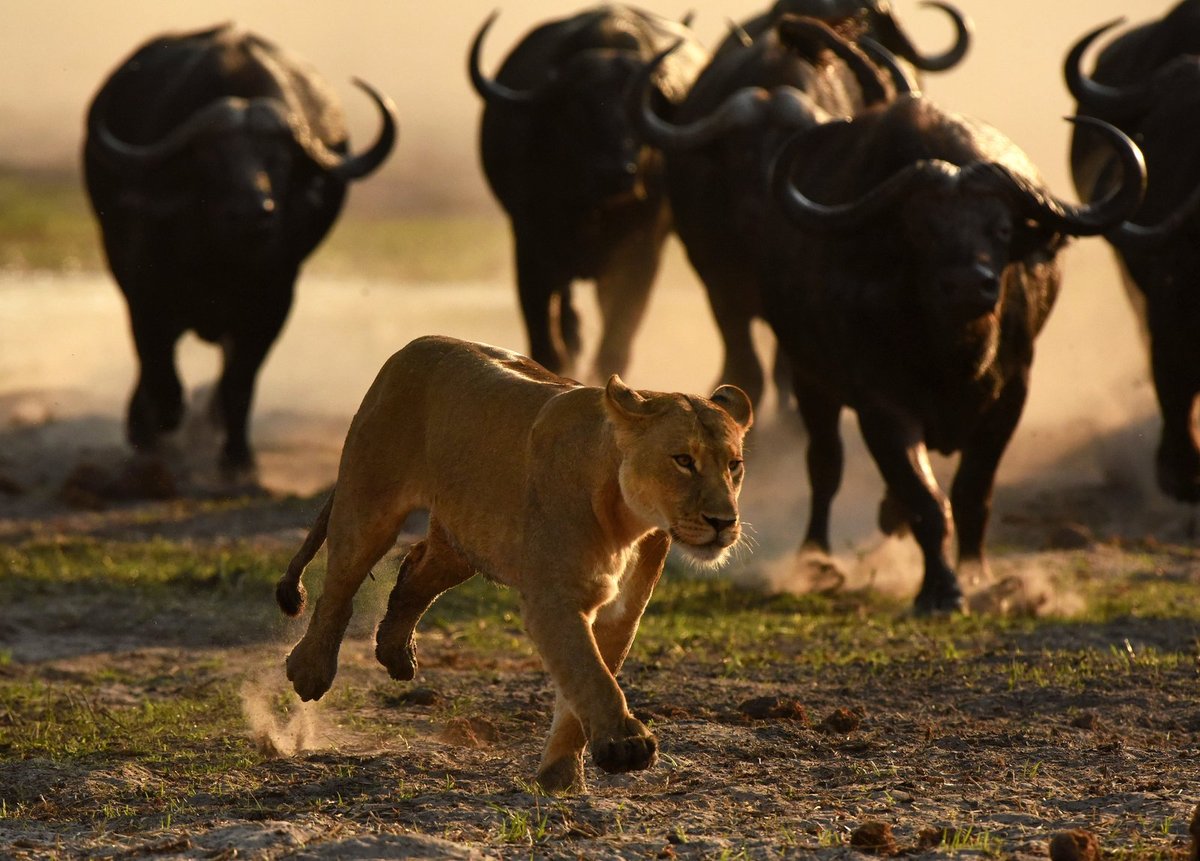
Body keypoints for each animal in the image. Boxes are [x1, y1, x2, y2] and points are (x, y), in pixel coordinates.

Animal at [82, 21, 398, 479]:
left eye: (278, 159)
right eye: (210, 157)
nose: (252, 213)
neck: (221, 260)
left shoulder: (273, 303)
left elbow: (240, 379)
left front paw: (237, 458)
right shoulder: (144, 290)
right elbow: (158, 363)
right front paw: (156, 426)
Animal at [468, 4, 705, 381]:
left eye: (638, 109)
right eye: (578, 107)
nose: (616, 172)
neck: (591, 209)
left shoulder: (641, 253)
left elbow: (616, 339)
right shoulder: (530, 246)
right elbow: (545, 341)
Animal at [763, 95, 1147, 613]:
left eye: (1001, 228)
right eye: (920, 229)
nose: (968, 285)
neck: (952, 355)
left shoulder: (1011, 397)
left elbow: (971, 493)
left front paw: (979, 576)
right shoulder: (880, 405)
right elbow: (925, 499)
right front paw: (941, 589)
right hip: (808, 380)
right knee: (824, 465)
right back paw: (814, 561)